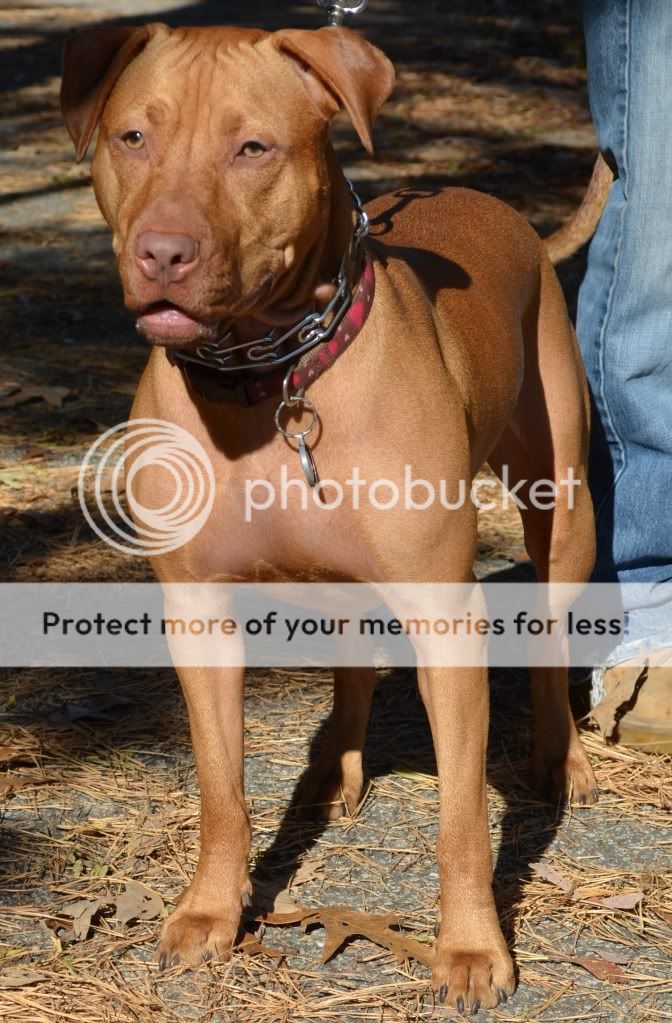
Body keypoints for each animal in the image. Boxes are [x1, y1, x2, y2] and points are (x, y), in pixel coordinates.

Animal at [61, 21, 597, 1006]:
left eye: (253, 148)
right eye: (132, 137)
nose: (162, 251)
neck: (270, 378)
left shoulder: (445, 615)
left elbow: (462, 816)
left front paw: (473, 948)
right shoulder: (196, 610)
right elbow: (220, 788)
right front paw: (210, 911)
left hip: (562, 509)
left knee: (548, 639)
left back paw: (562, 759)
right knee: (352, 660)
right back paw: (334, 768)